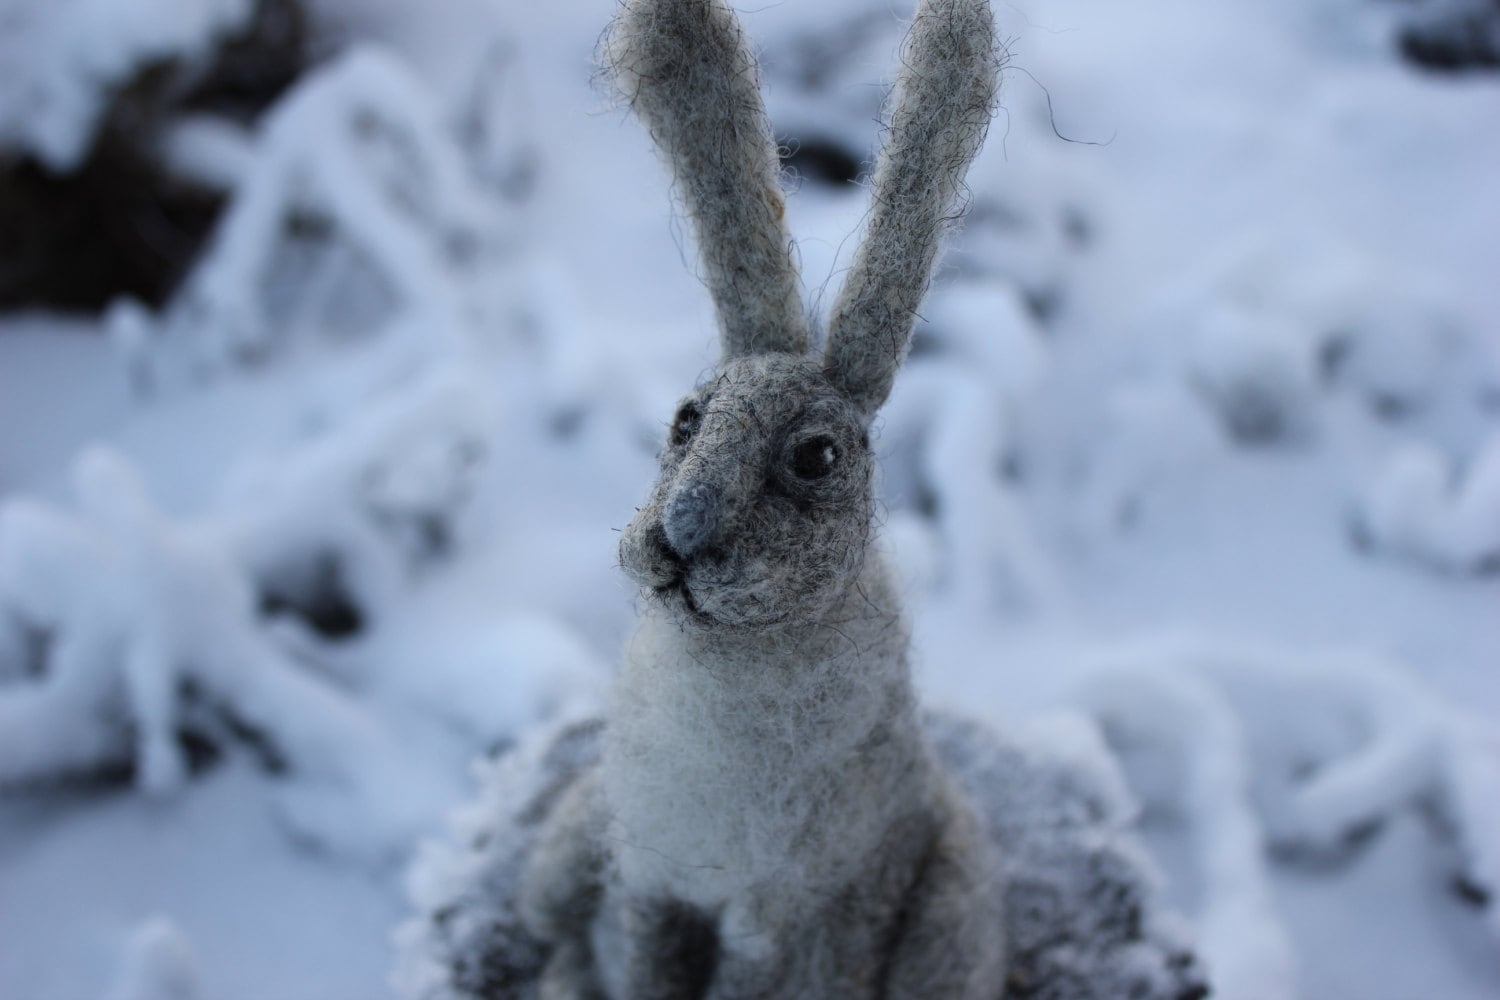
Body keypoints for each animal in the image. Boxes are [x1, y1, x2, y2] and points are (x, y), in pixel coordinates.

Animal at [518, 0, 1005, 996]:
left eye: (817, 457)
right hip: (572, 842)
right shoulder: (646, 876)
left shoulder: (768, 924)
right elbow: (645, 969)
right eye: (685, 419)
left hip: (949, 924)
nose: (680, 533)